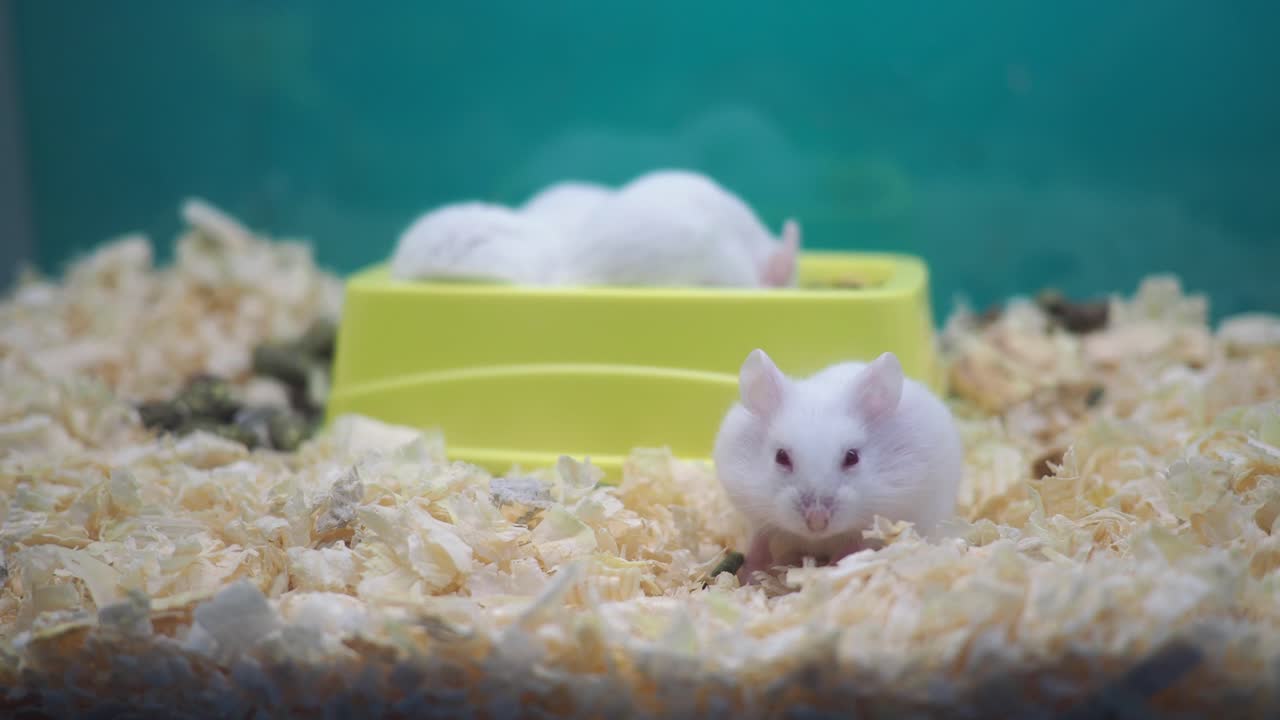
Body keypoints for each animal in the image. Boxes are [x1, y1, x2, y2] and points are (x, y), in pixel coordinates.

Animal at [712, 348, 963, 585]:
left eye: (852, 457)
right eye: (781, 456)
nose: (817, 522)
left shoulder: (874, 524)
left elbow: (850, 550)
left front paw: (827, 573)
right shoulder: (757, 518)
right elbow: (758, 545)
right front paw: (750, 578)